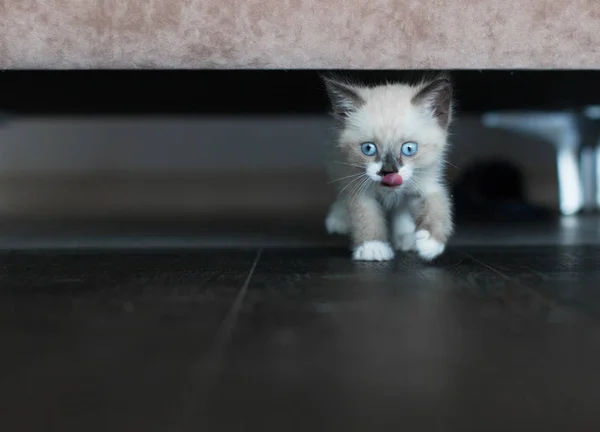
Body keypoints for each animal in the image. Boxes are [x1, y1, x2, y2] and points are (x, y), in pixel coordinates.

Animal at [324, 74, 454, 262]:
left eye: (409, 148)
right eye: (368, 148)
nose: (388, 172)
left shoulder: (426, 181)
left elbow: (437, 206)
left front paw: (431, 243)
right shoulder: (358, 187)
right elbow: (366, 217)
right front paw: (372, 247)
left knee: (401, 209)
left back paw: (406, 238)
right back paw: (339, 220)